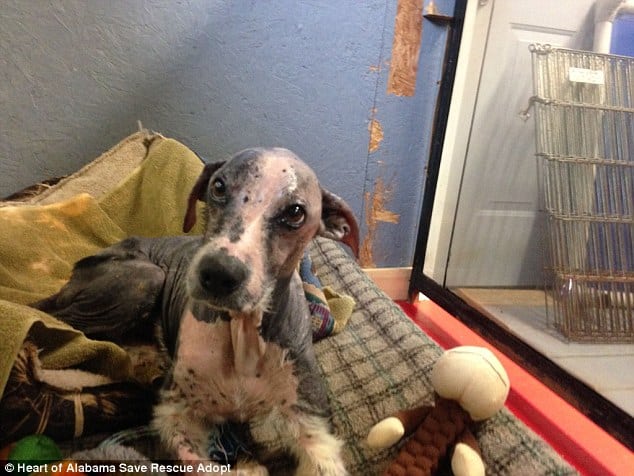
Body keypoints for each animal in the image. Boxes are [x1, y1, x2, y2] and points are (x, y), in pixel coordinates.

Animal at [35, 147, 360, 474]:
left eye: (295, 212)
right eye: (218, 186)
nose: (218, 272)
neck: (241, 332)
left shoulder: (311, 421)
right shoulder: (176, 415)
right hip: (145, 277)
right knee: (61, 325)